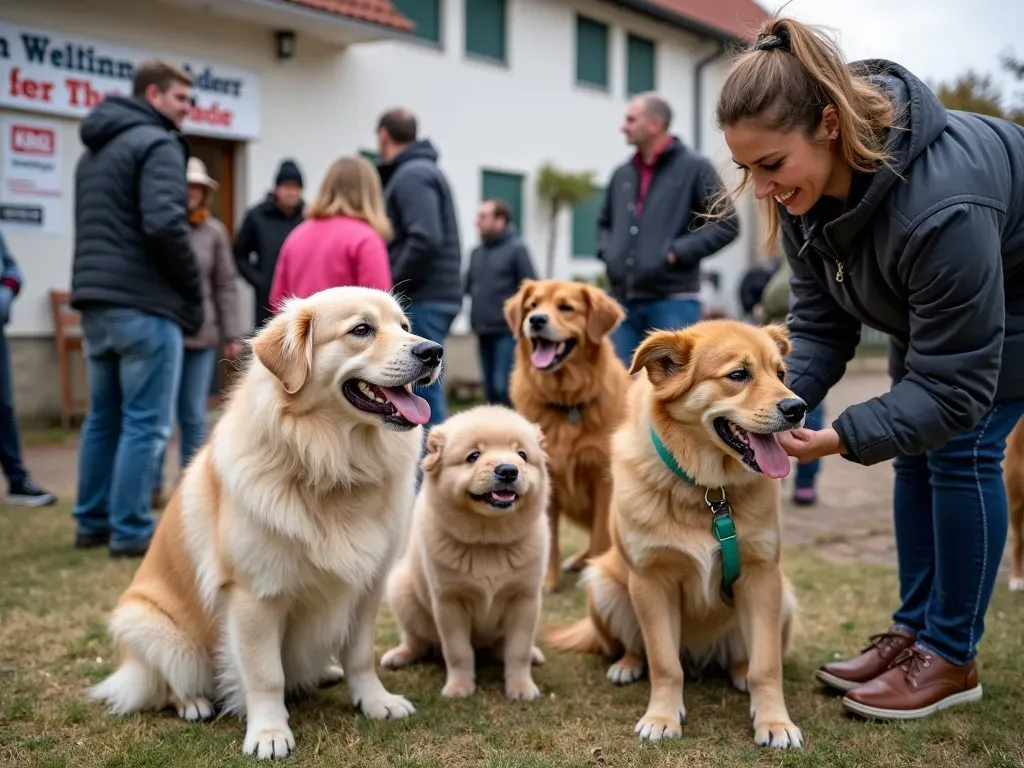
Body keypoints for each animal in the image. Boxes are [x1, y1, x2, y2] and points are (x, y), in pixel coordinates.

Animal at [88, 288, 440, 765]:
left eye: (404, 327)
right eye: (362, 329)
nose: (433, 351)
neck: (330, 463)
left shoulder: (368, 585)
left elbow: (361, 656)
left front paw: (376, 701)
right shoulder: (254, 596)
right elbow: (265, 674)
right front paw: (269, 733)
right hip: (149, 625)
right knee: (166, 682)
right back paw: (193, 702)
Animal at [378, 409, 552, 704]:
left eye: (522, 454)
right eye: (473, 456)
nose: (508, 470)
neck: (488, 544)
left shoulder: (525, 599)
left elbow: (517, 651)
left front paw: (521, 688)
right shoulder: (449, 602)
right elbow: (458, 652)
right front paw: (459, 688)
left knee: (505, 648)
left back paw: (534, 655)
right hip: (401, 591)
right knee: (416, 639)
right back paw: (399, 656)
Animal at [501, 282, 626, 593]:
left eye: (566, 307)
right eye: (532, 306)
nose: (536, 320)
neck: (566, 403)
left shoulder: (603, 480)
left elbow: (600, 535)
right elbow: (550, 537)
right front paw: (547, 581)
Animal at [548, 319, 802, 753]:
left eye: (781, 374)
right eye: (739, 375)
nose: (798, 408)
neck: (709, 494)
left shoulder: (762, 576)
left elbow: (766, 666)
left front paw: (774, 722)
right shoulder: (652, 581)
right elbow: (665, 664)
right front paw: (662, 718)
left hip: (782, 596)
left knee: (746, 659)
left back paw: (738, 669)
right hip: (604, 585)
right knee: (638, 648)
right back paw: (627, 665)